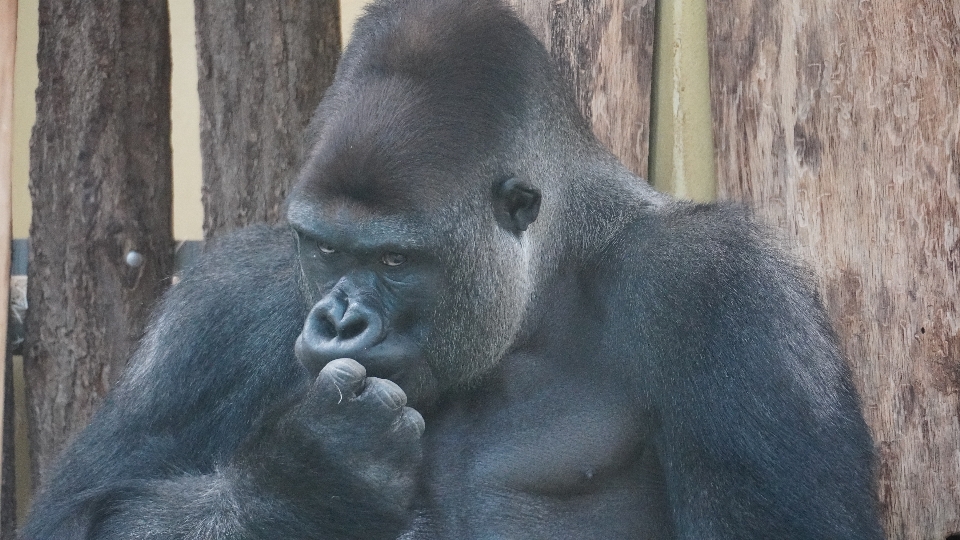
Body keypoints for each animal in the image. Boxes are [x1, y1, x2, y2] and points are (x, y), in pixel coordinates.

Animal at [22, 1, 880, 540]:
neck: (547, 284)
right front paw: (301, 485)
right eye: (327, 248)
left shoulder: (725, 292)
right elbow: (73, 515)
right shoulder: (219, 308)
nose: (339, 320)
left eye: (395, 260)